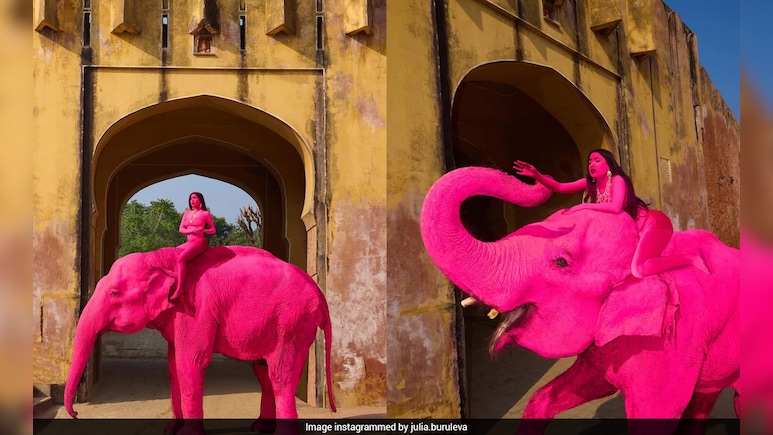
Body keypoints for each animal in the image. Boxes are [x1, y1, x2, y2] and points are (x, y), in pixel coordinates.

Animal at [64, 245, 336, 434]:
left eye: (114, 293)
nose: (76, 414)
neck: (161, 258)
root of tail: (321, 296)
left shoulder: (196, 311)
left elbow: (190, 363)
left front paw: (187, 434)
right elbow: (173, 365)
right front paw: (170, 431)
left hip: (292, 322)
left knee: (280, 375)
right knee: (263, 371)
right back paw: (259, 428)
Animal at [420, 166, 739, 433]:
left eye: (561, 262)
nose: (537, 177)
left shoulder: (674, 340)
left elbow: (654, 416)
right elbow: (559, 392)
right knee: (706, 397)